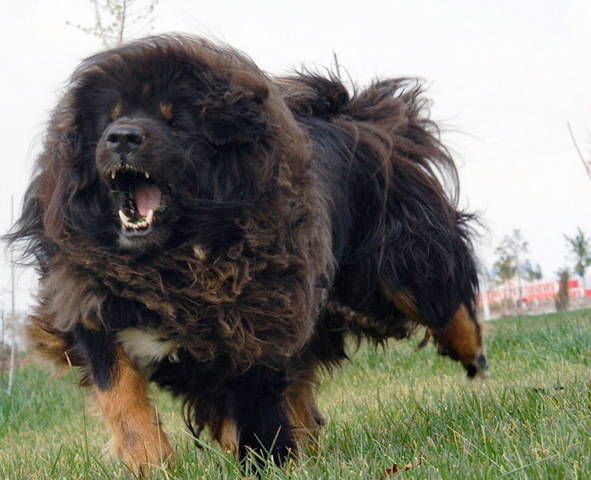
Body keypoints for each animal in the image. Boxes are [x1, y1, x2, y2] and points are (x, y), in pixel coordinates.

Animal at [6, 34, 488, 472]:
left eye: (175, 122)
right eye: (110, 118)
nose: (121, 136)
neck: (173, 257)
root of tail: (349, 113)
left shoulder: (257, 318)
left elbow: (256, 407)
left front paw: (266, 463)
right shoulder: (89, 299)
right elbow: (121, 393)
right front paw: (148, 461)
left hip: (396, 263)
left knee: (441, 296)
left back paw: (474, 357)